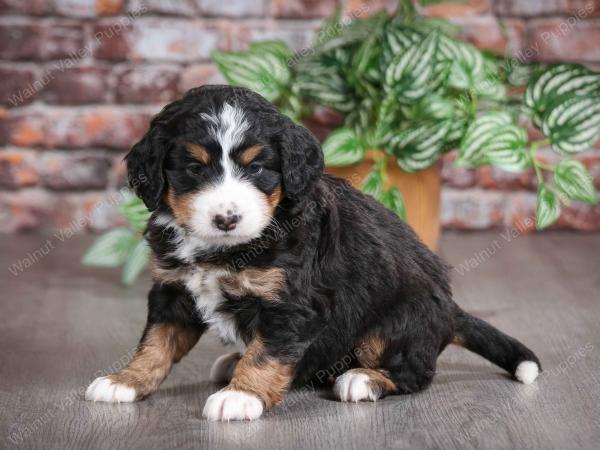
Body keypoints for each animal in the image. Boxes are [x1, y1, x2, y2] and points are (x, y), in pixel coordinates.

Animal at [86, 85, 540, 422]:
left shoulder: (292, 305)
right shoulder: (173, 289)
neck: (229, 248)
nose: (227, 218)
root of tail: (450, 308)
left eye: (257, 168)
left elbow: (266, 354)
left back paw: (362, 380)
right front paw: (125, 381)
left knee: (415, 373)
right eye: (194, 168)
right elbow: (155, 343)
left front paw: (242, 396)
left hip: (395, 323)